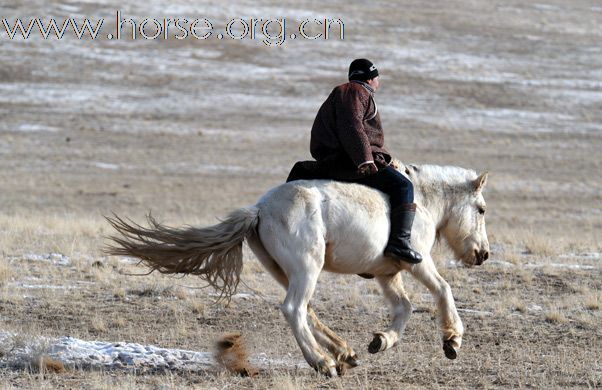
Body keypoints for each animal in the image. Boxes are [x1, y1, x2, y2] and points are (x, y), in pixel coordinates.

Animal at [108, 161, 488, 374]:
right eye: (481, 209)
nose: (483, 254)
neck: (422, 201)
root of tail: (259, 210)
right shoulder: (416, 261)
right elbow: (442, 289)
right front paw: (453, 340)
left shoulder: (386, 274)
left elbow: (404, 308)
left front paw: (381, 341)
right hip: (307, 268)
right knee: (294, 308)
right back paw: (324, 362)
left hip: (289, 272)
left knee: (306, 309)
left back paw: (343, 353)